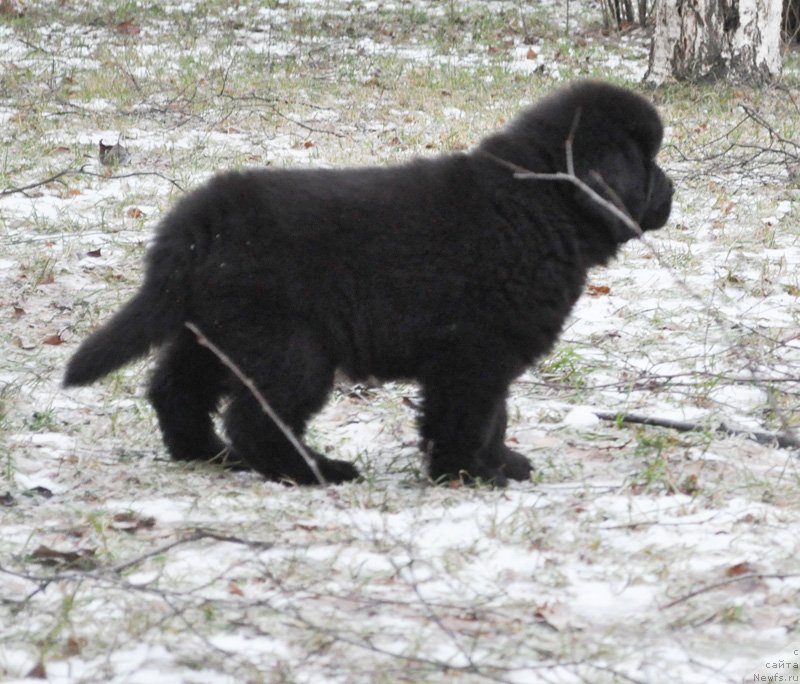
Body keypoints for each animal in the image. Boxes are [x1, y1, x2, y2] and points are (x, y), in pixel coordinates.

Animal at [65, 80, 672, 484]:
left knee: (175, 390)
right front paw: (467, 473)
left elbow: (495, 415)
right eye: (647, 162)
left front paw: (500, 463)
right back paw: (314, 470)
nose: (673, 190)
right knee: (257, 419)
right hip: (288, 347)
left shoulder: (484, 354)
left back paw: (205, 454)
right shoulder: (475, 352)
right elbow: (472, 415)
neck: (539, 201)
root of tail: (201, 220)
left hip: (211, 331)